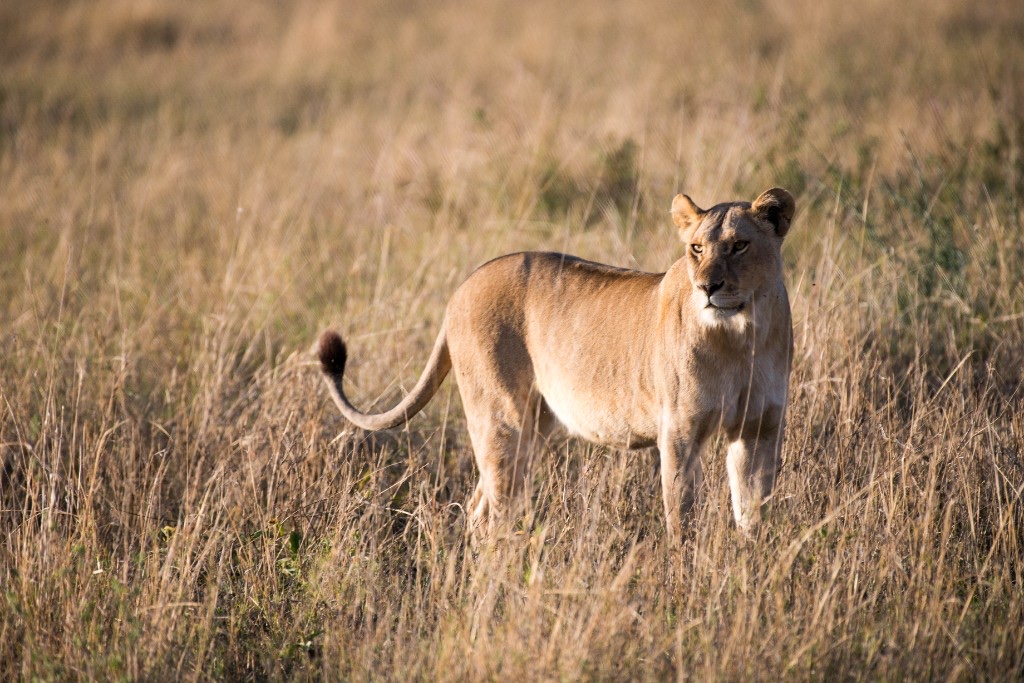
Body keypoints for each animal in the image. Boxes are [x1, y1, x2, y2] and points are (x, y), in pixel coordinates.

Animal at [318, 188, 795, 542]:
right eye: (696, 248)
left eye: (739, 245)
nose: (707, 287)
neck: (742, 336)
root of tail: (463, 286)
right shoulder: (679, 431)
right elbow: (682, 521)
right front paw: (683, 580)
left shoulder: (759, 429)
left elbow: (753, 513)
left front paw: (749, 571)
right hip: (502, 420)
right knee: (493, 512)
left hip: (532, 425)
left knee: (480, 506)